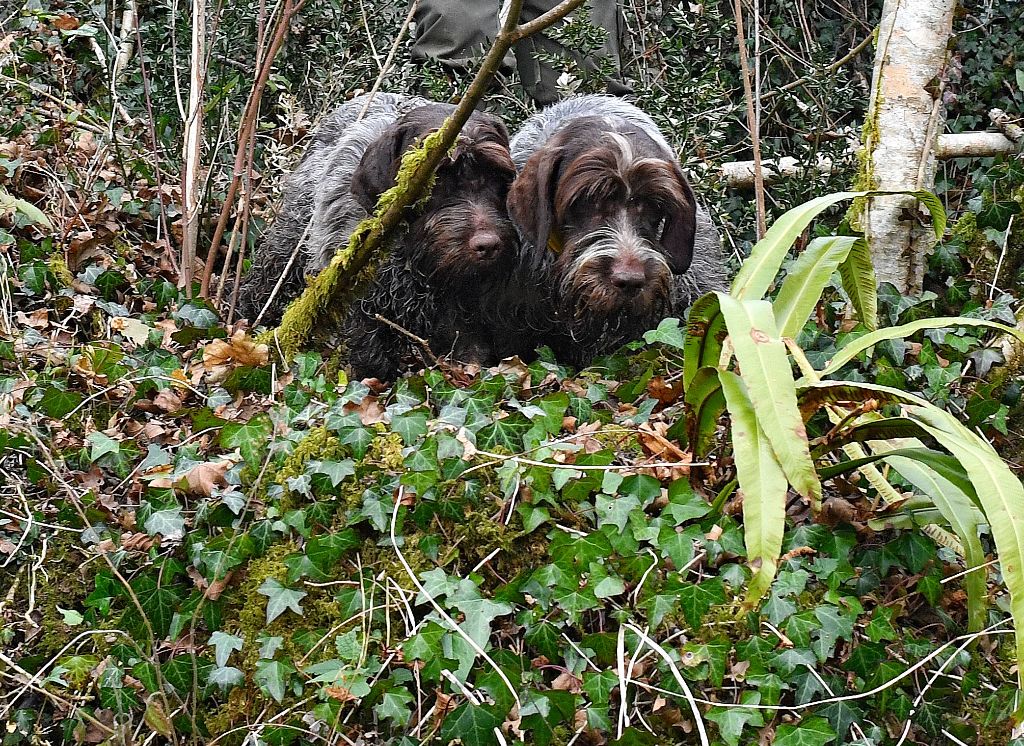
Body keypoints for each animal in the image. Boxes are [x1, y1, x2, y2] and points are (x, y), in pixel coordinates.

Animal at [235, 94, 516, 378]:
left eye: (497, 175)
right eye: (437, 179)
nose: (488, 245)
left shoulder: (461, 317)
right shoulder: (364, 313)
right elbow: (372, 362)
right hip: (290, 238)